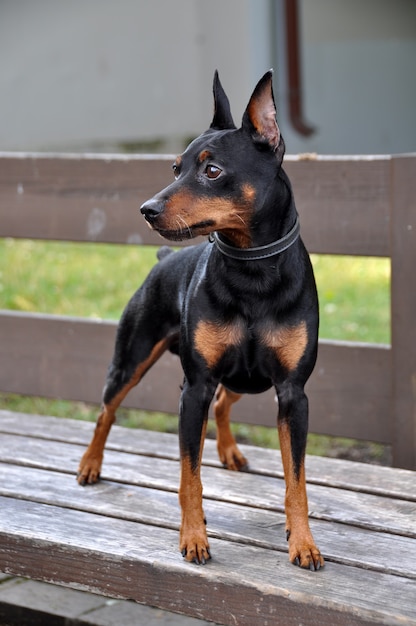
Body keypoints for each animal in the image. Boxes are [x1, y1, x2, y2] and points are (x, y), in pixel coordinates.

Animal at [78, 70, 324, 568]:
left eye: (212, 171)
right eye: (176, 168)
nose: (147, 210)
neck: (252, 272)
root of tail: (164, 261)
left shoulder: (293, 393)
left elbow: (297, 479)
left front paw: (304, 542)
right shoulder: (194, 388)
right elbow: (188, 477)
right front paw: (193, 537)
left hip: (248, 378)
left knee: (226, 403)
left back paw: (230, 452)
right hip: (132, 358)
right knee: (106, 410)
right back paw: (90, 464)